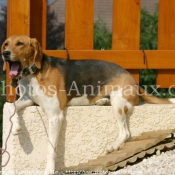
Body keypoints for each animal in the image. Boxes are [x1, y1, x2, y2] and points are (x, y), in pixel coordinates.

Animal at [1, 34, 173, 174]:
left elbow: (51, 148)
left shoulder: (55, 116)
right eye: (6, 44)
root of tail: (132, 78)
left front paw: (49, 170)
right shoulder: (27, 98)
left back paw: (114, 146)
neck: (32, 74)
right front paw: (15, 125)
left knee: (125, 133)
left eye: (20, 43)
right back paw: (101, 101)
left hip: (118, 102)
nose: (5, 53)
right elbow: (10, 106)